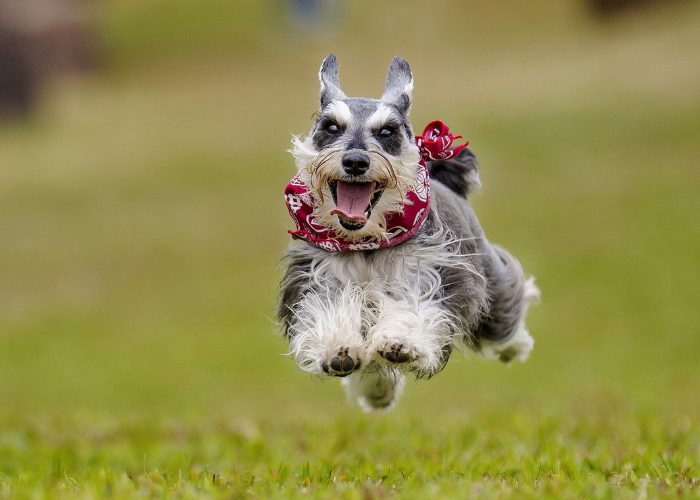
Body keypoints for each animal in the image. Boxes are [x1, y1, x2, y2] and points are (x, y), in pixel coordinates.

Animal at [278, 54, 536, 410]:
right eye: (331, 127)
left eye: (387, 131)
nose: (355, 161)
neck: (368, 242)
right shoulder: (318, 276)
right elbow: (330, 308)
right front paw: (338, 349)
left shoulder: (432, 273)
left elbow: (411, 306)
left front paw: (399, 342)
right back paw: (377, 393)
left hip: (490, 286)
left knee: (506, 313)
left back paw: (517, 345)